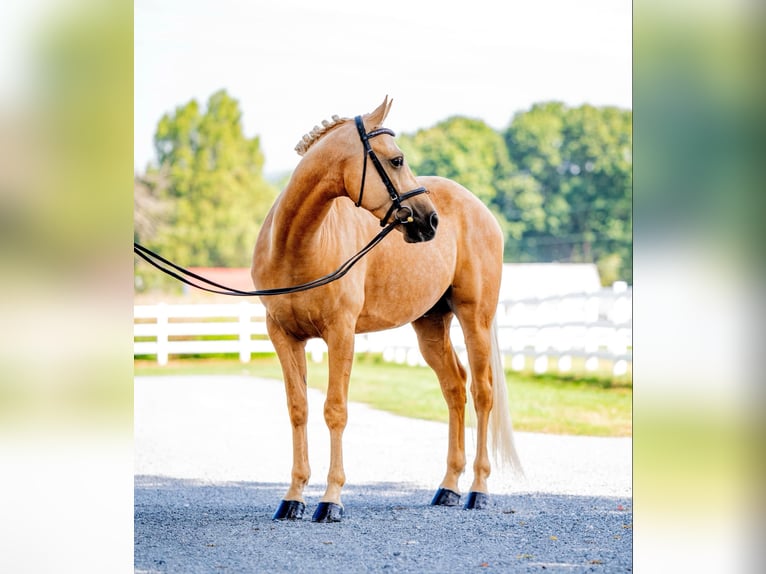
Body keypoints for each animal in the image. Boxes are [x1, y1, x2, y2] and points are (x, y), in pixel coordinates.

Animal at [255, 97, 524, 524]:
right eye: (396, 160)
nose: (430, 219)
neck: (299, 246)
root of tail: (481, 209)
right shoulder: (282, 335)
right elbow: (298, 409)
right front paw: (293, 498)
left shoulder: (340, 334)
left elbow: (335, 410)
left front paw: (331, 501)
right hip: (430, 324)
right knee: (454, 388)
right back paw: (448, 488)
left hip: (475, 318)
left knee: (482, 392)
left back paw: (478, 490)